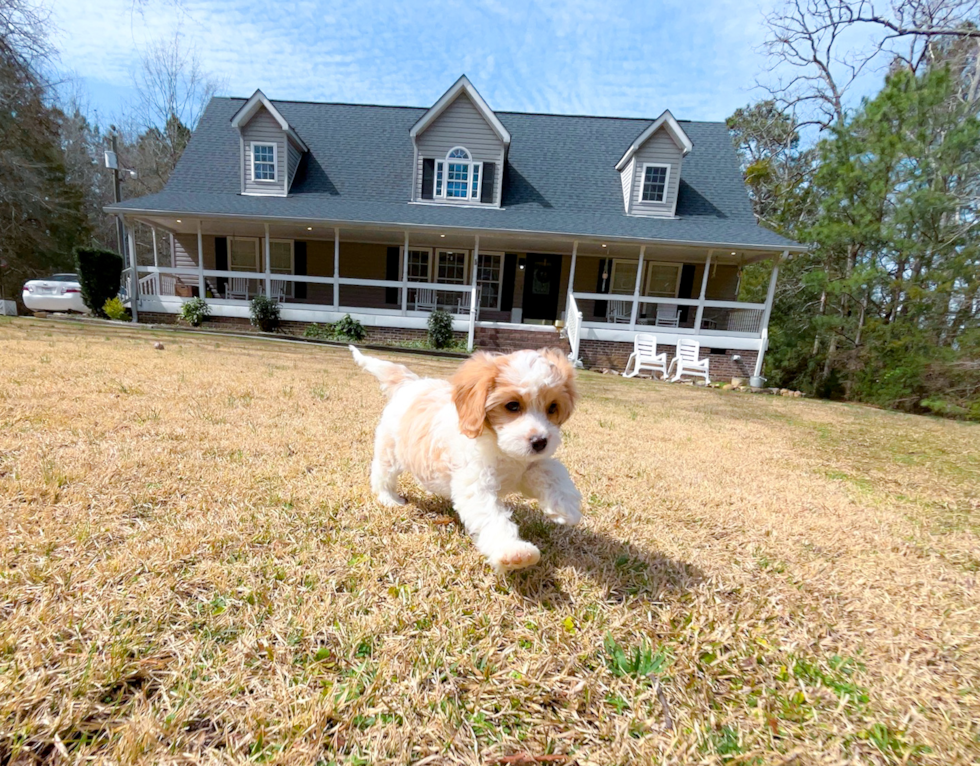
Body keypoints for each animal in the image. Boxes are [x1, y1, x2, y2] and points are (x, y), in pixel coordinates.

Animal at [352, 346, 580, 568]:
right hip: (389, 451)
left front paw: (566, 506)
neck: (500, 447)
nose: (540, 442)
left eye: (552, 407)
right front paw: (513, 551)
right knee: (382, 474)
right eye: (513, 406)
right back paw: (389, 498)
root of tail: (411, 383)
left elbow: (552, 470)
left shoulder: (527, 465)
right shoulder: (476, 484)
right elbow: (492, 517)